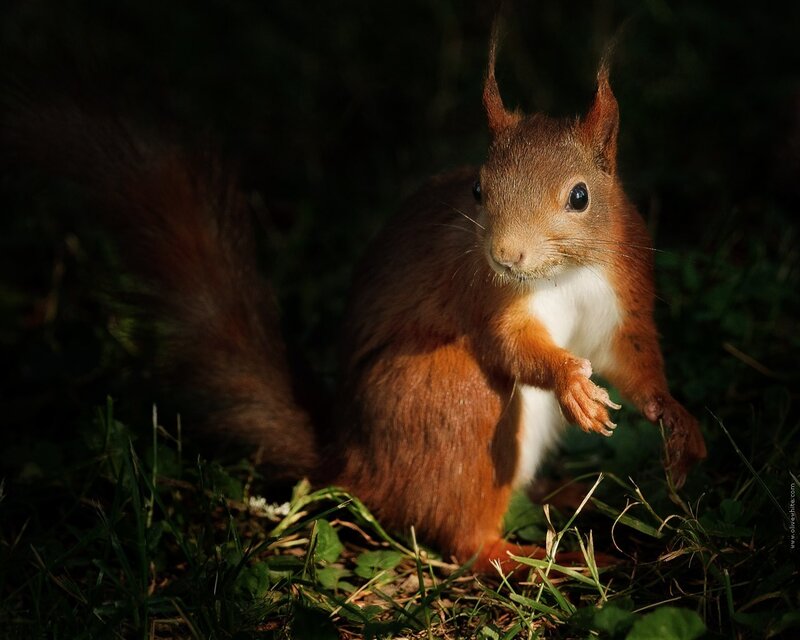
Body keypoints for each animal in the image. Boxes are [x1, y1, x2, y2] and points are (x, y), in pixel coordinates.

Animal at [2, 32, 706, 574]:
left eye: (580, 197)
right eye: (479, 190)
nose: (507, 256)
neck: (566, 276)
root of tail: (356, 463)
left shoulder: (621, 291)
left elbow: (632, 358)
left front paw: (676, 421)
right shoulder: (484, 293)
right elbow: (510, 346)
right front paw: (570, 382)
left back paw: (565, 495)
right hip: (451, 398)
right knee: (464, 536)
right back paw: (530, 560)